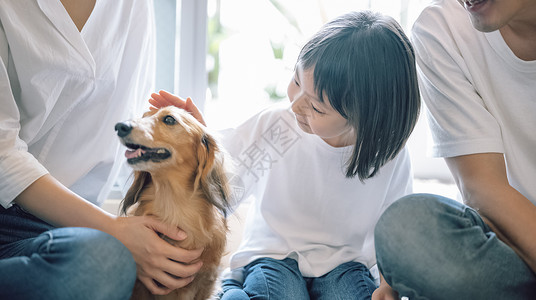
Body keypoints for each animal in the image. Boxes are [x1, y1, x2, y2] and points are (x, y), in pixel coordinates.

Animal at [115, 106, 232, 298]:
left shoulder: (207, 281)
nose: (120, 126)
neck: (174, 208)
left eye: (169, 119)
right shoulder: (141, 284)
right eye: (144, 117)